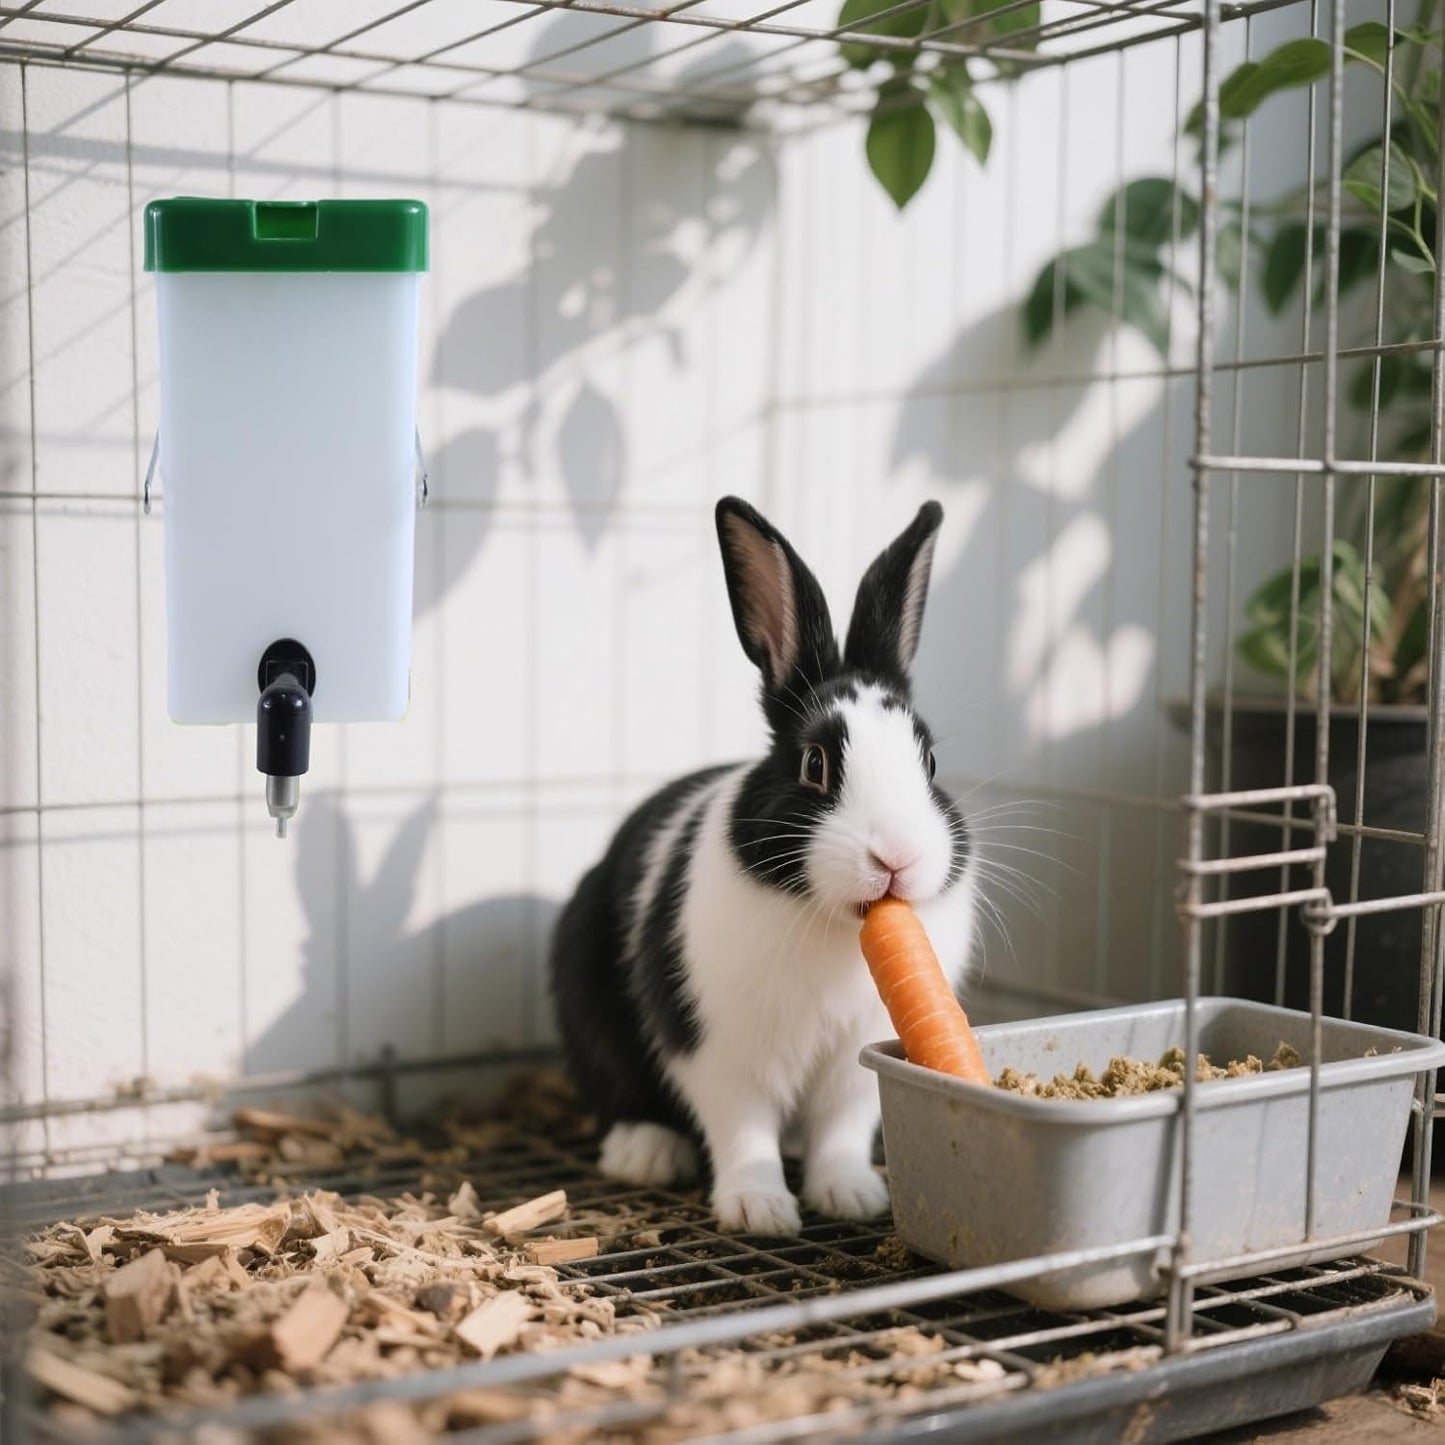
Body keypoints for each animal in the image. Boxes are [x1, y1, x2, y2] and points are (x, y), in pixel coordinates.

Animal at [549, 496, 975, 1235]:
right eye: (814, 764)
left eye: (927, 760)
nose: (896, 856)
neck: (839, 926)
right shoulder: (720, 1050)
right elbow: (742, 1129)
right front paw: (760, 1209)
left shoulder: (854, 1066)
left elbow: (841, 1130)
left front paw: (850, 1195)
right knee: (623, 1091)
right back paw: (646, 1153)